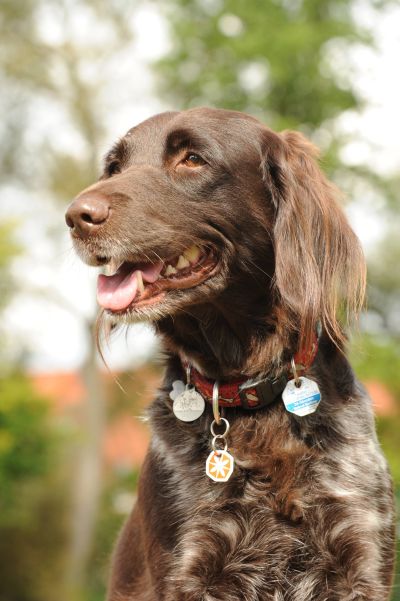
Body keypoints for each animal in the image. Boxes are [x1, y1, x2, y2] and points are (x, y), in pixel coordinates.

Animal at [66, 109, 396, 600]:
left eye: (193, 159)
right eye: (114, 167)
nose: (76, 216)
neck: (252, 395)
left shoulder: (361, 557)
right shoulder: (191, 567)